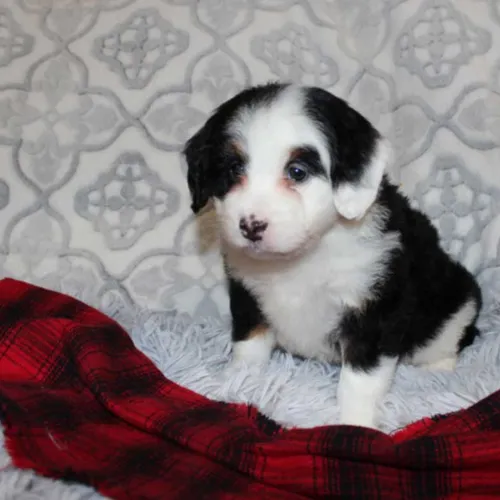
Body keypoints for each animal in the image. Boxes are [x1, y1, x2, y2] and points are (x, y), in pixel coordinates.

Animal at [182, 84, 482, 428]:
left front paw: (356, 425)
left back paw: (438, 370)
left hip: (459, 302)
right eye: (233, 169)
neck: (304, 254)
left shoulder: (373, 311)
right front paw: (238, 384)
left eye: (297, 172)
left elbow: (360, 381)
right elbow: (249, 346)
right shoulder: (248, 296)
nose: (250, 226)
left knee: (448, 339)